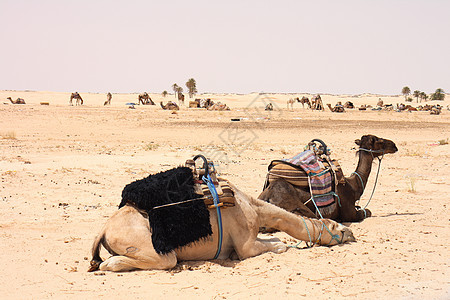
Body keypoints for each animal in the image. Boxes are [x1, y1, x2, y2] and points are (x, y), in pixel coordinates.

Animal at [89, 179, 356, 274]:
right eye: (337, 226)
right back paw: (111, 263)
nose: (351, 233)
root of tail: (104, 229)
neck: (253, 207)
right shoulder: (246, 244)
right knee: (163, 260)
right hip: (146, 243)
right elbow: (277, 245)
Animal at [260, 136, 398, 223]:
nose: (394, 145)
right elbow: (367, 211)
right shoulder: (350, 213)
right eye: (379, 140)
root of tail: (268, 198)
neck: (353, 185)